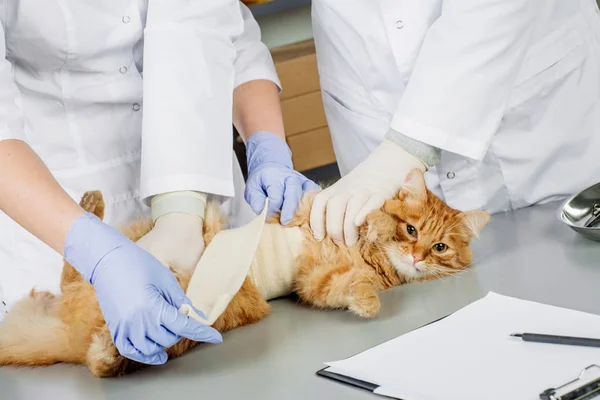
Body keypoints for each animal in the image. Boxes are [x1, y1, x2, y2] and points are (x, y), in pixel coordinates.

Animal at [0, 170, 490, 376]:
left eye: (440, 247)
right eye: (412, 230)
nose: (418, 257)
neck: (375, 258)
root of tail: (69, 334)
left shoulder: (316, 282)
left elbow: (351, 287)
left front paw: (367, 302)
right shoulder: (314, 214)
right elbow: (369, 217)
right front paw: (377, 223)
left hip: (175, 329)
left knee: (101, 359)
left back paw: (105, 348)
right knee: (77, 267)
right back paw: (90, 205)